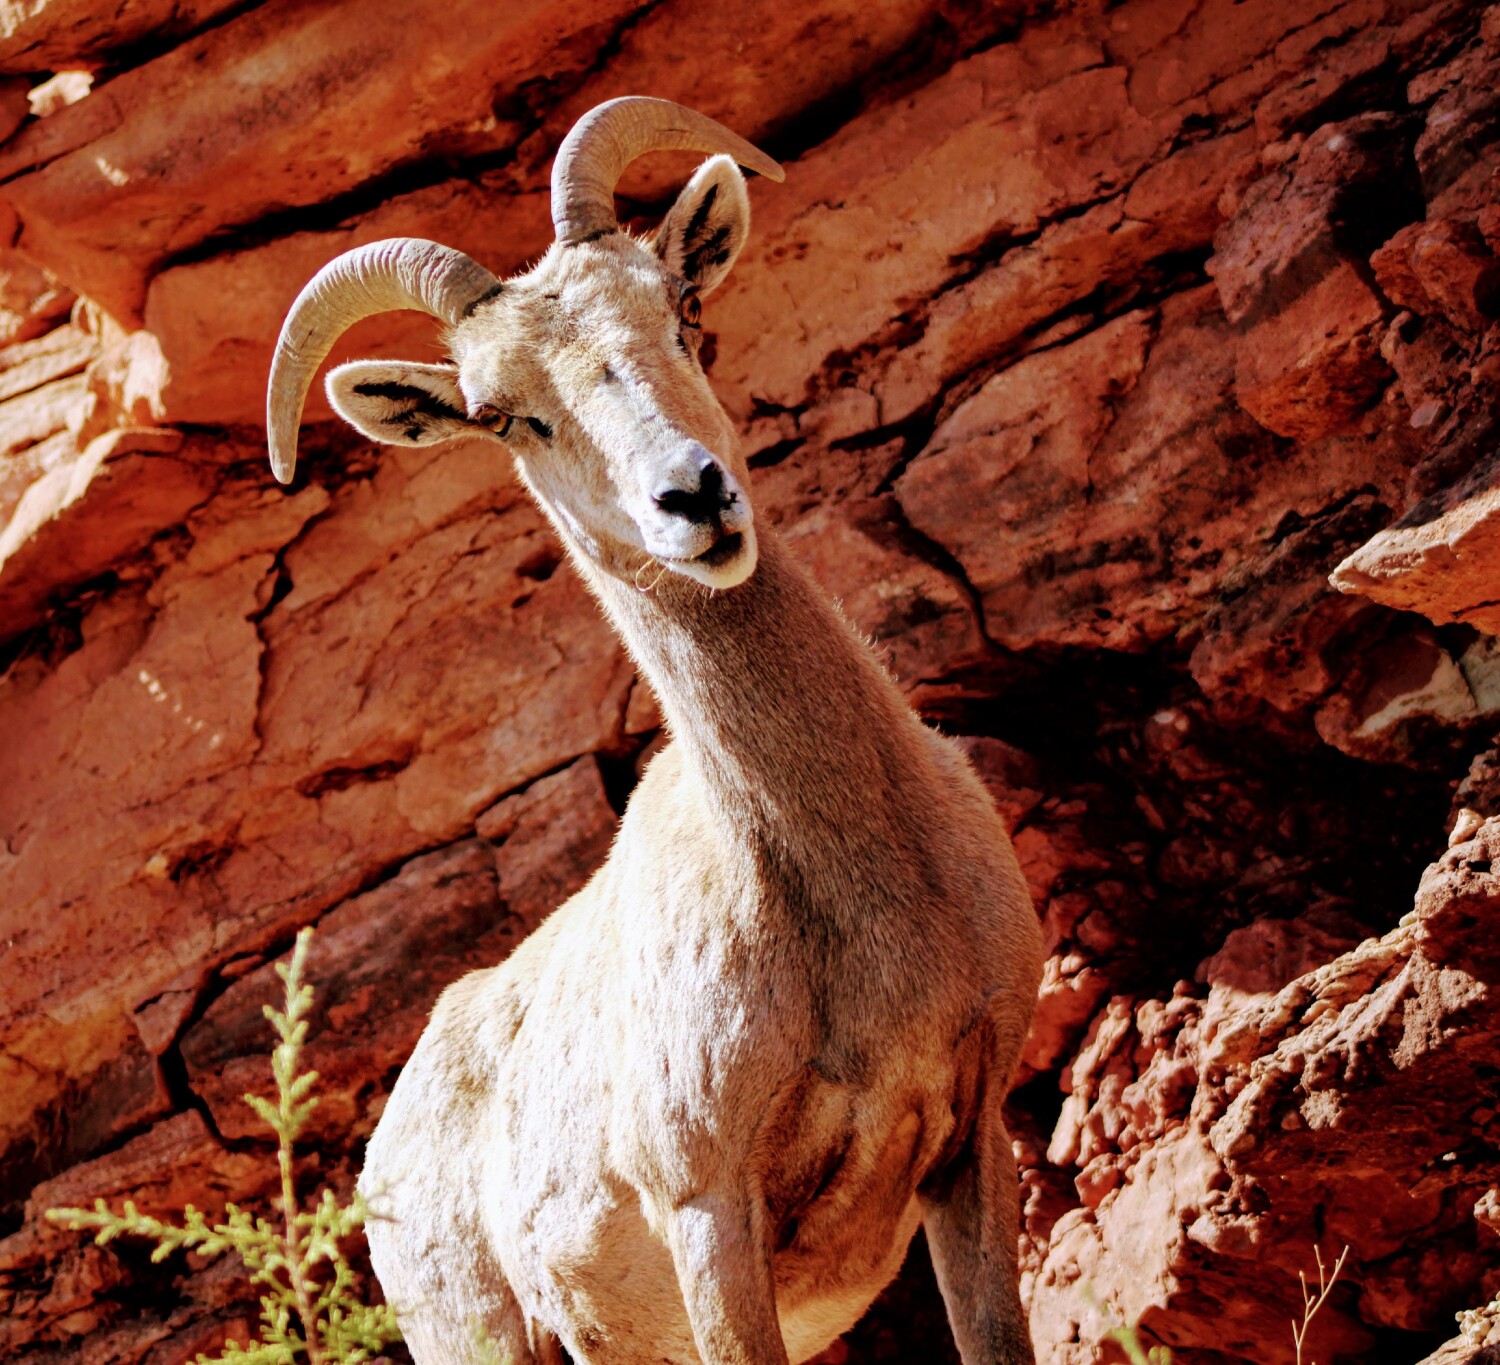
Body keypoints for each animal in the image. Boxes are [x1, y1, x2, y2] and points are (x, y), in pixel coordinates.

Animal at [265, 96, 1043, 1365]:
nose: (695, 498)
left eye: (678, 314)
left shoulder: (971, 1146)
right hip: (490, 1342)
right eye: (508, 416)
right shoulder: (709, 1214)